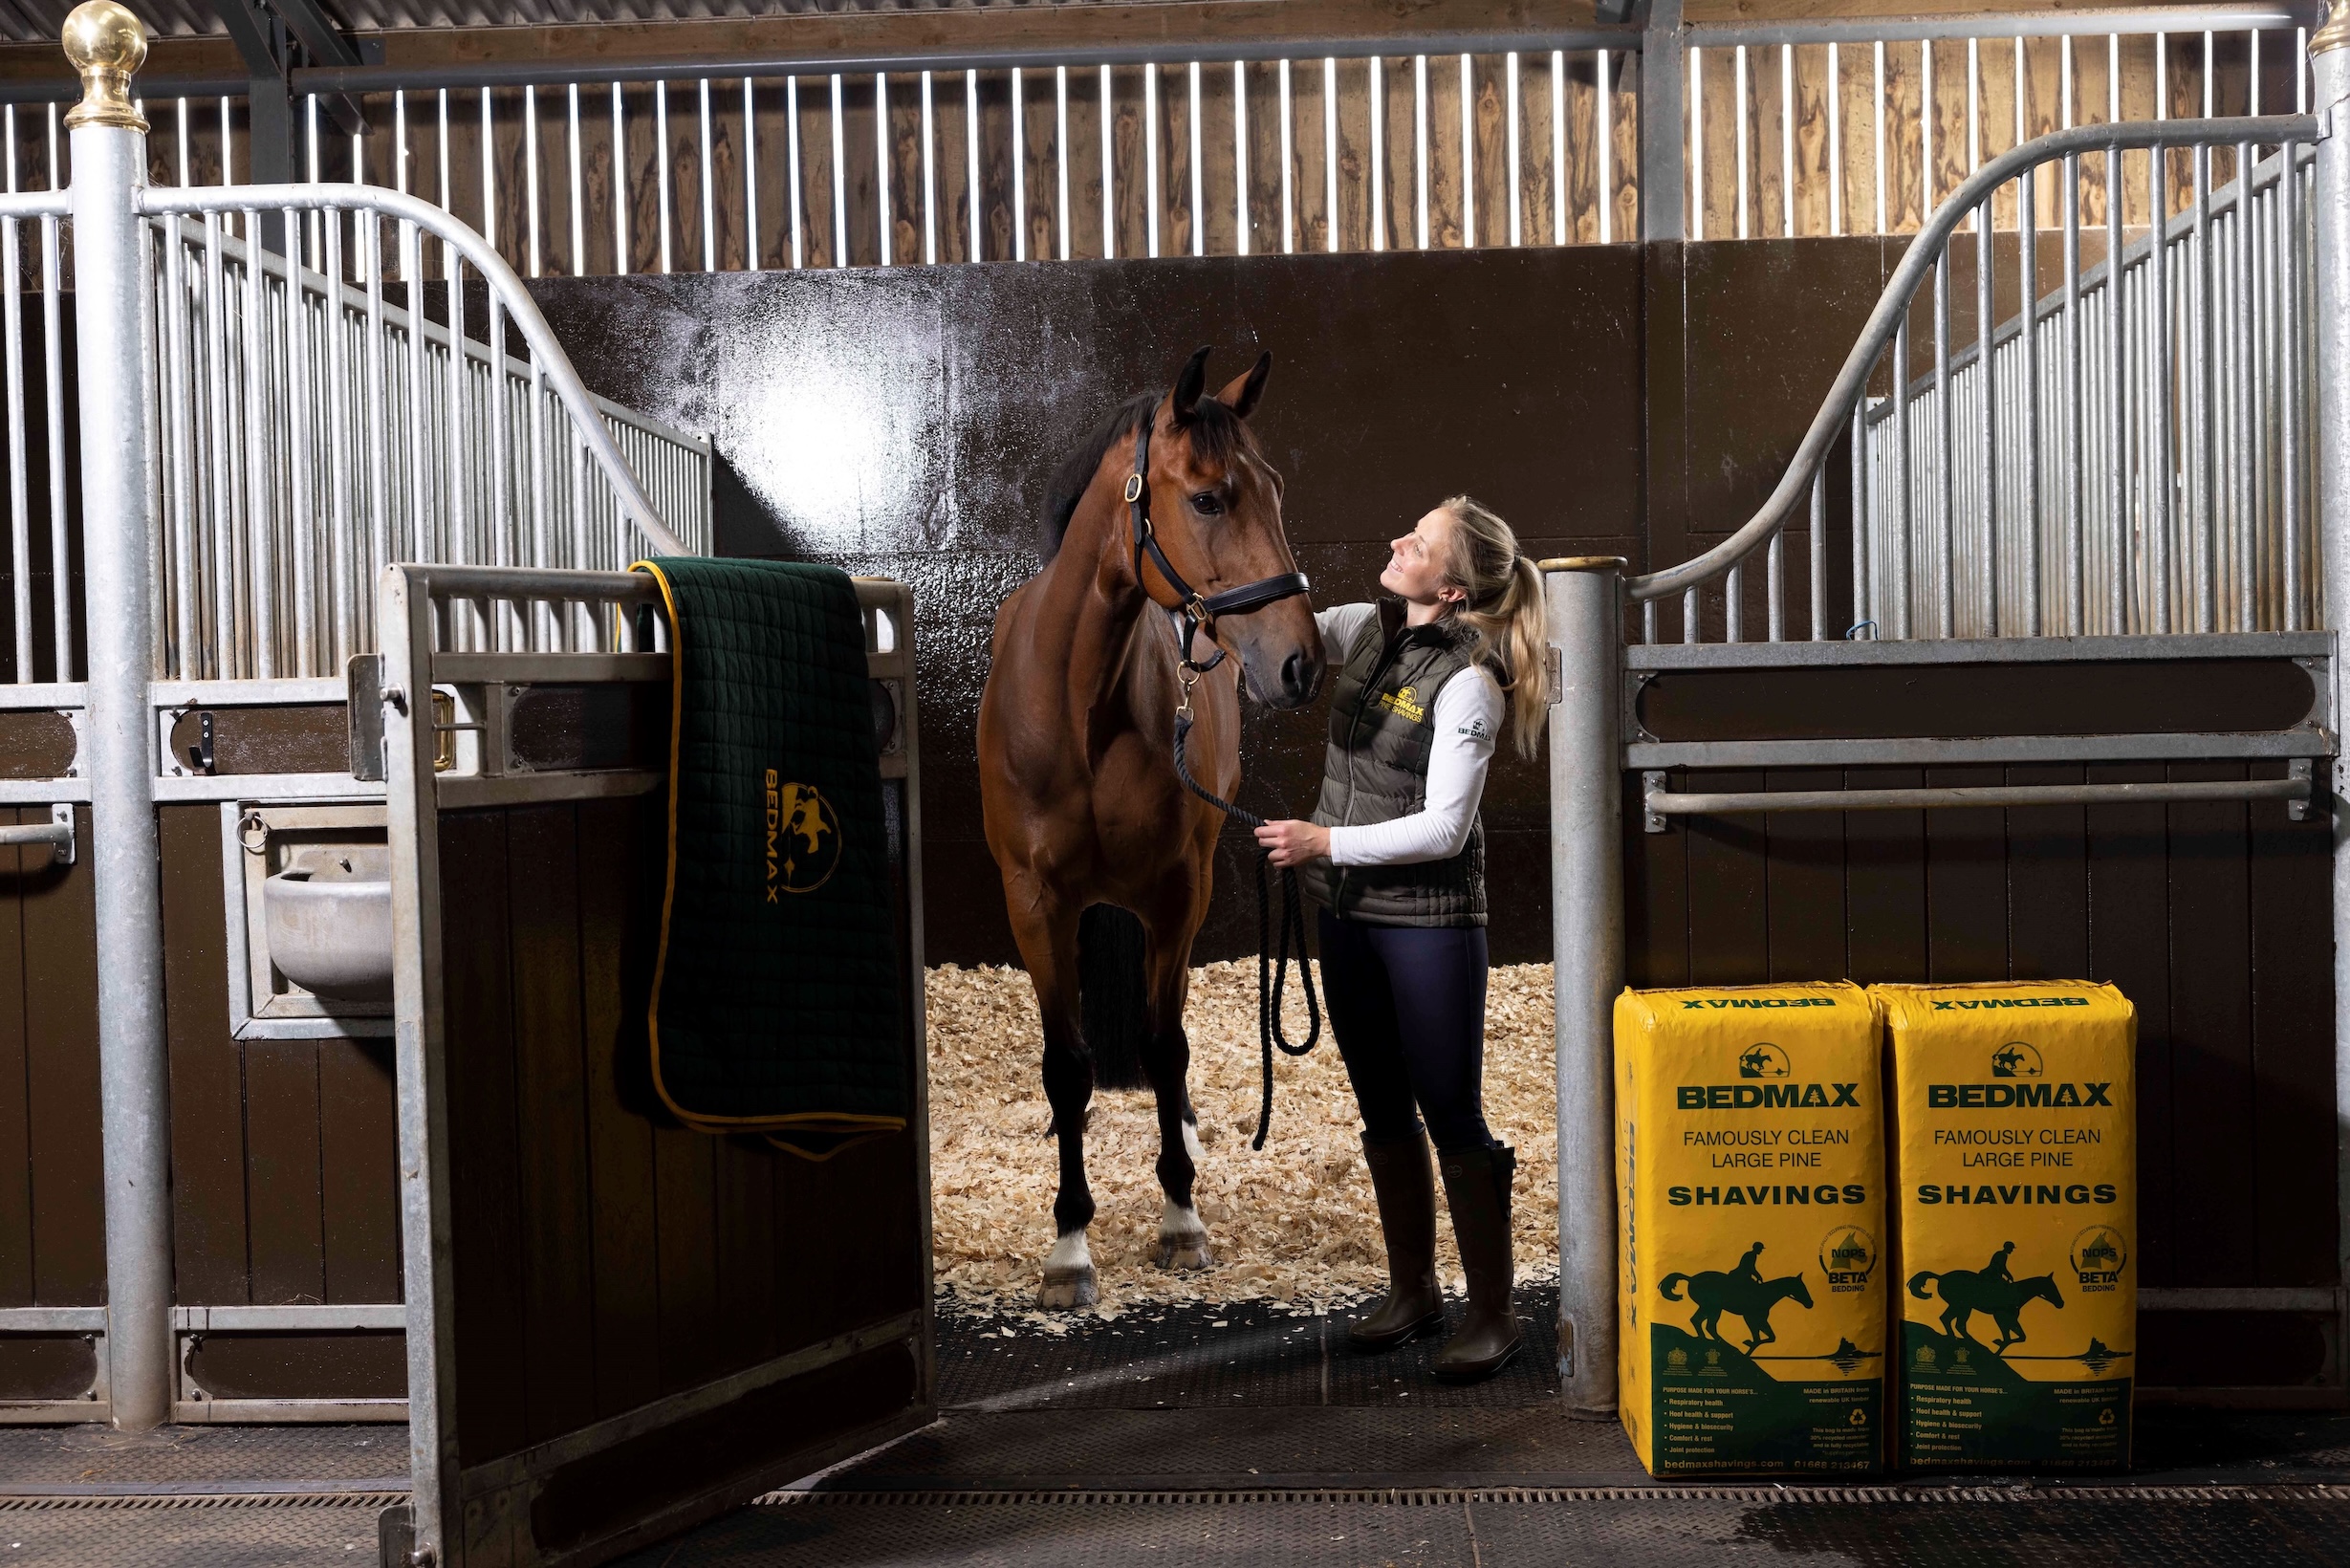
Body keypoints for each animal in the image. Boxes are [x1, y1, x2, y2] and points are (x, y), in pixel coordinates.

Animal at [977, 347, 1324, 1310]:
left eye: (1277, 489)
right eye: (1208, 498)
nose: (1301, 663)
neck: (1080, 708)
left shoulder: (1178, 895)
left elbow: (1166, 1047)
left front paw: (1180, 1218)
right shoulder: (1033, 902)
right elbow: (1066, 1063)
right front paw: (1068, 1246)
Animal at [1659, 1268, 1816, 1353]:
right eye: (1801, 1288)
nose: (1810, 1303)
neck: (1765, 1294)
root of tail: (1691, 1279)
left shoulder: (1761, 1319)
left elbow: (1770, 1337)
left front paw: (1749, 1345)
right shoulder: (1751, 1318)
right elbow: (1758, 1338)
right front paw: (1748, 1344)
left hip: (1708, 1307)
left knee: (1698, 1321)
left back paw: (1705, 1340)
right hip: (1713, 1307)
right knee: (1709, 1325)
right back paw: (1725, 1345)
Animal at [1908, 1268, 2066, 1352]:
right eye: (2052, 1287)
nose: (2061, 1303)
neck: (2016, 1293)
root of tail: (1941, 1277)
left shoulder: (2011, 1319)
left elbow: (2020, 1337)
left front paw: (1998, 1343)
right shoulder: (2001, 1317)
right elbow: (2009, 1338)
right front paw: (1998, 1344)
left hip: (1961, 1306)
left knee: (1952, 1321)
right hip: (1962, 1305)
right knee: (1952, 1321)